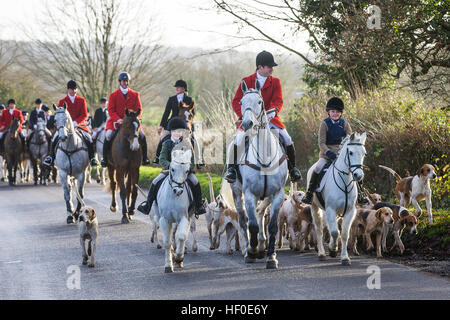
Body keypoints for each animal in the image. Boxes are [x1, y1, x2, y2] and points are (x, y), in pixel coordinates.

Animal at [229, 80, 288, 270]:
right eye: (241, 102)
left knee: (261, 212)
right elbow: (252, 225)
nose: (247, 123)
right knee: (244, 219)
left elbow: (272, 226)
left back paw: (262, 246)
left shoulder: (277, 194)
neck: (264, 157)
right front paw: (252, 252)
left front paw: (271, 257)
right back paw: (250, 249)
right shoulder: (249, 194)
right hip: (237, 192)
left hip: (267, 195)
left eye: (260, 102)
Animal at [308, 132, 368, 264]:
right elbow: (335, 232)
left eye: (364, 153)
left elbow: (344, 234)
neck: (344, 182)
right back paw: (321, 253)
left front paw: (344, 257)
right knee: (319, 230)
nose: (358, 175)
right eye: (351, 152)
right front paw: (332, 249)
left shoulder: (350, 211)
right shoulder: (330, 209)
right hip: (315, 208)